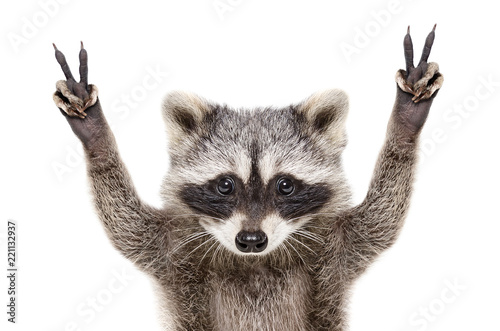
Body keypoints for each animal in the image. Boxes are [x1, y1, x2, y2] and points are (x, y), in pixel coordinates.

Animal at [50, 26, 442, 331]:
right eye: (226, 185)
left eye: (285, 185)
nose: (251, 240)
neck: (256, 263)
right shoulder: (171, 251)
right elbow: (126, 225)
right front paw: (96, 136)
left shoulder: (339, 250)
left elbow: (380, 218)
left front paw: (405, 122)